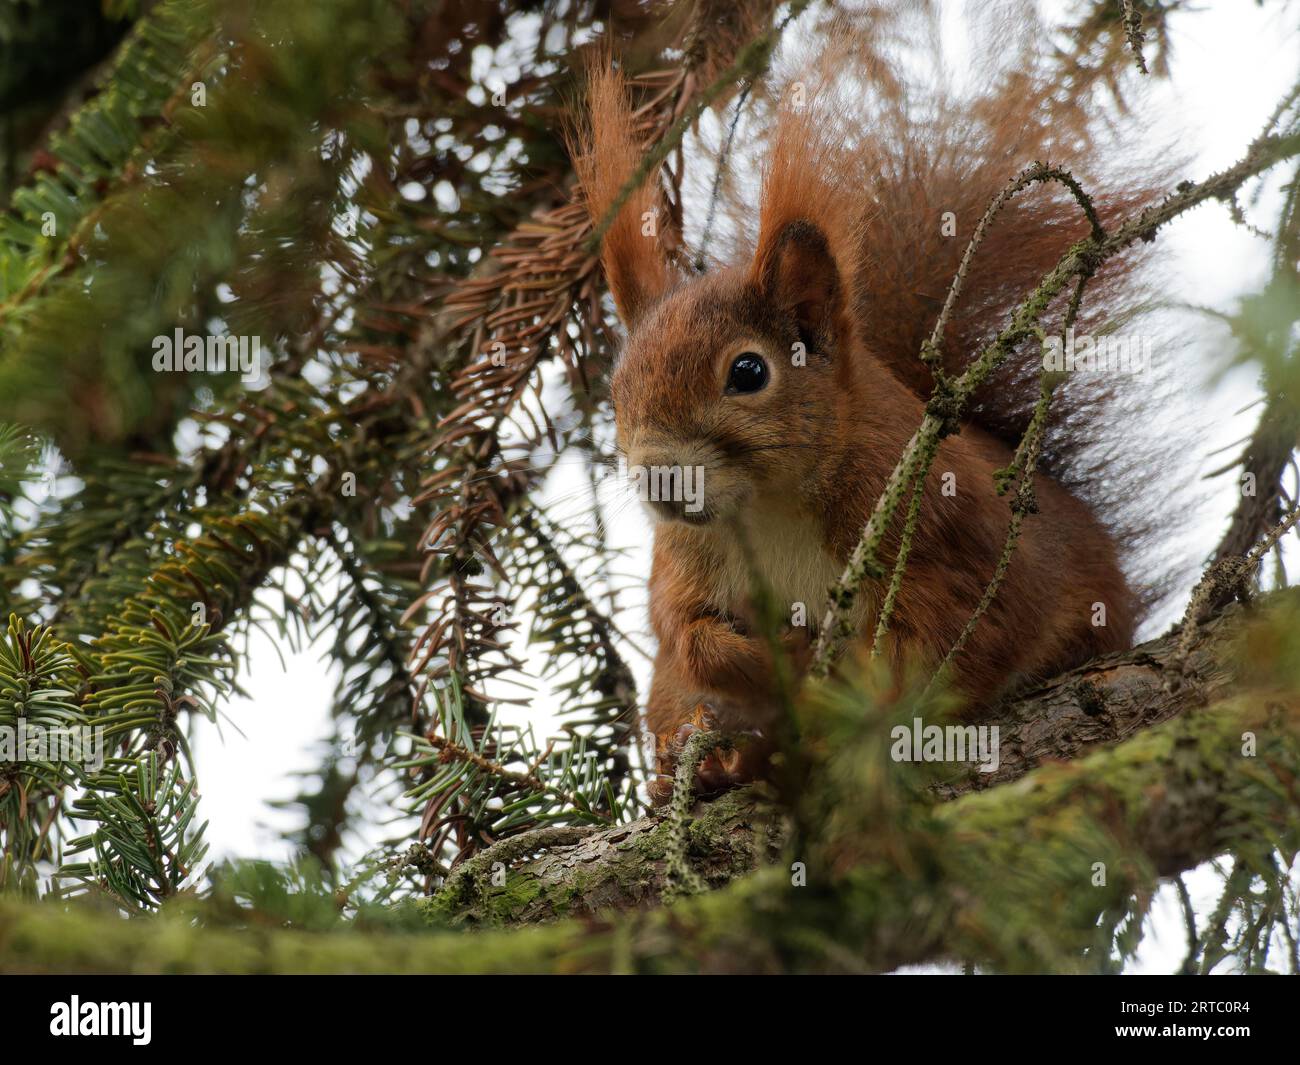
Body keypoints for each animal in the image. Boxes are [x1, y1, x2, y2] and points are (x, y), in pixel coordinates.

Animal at [570, 45, 1162, 805]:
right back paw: (706, 763)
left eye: (749, 372)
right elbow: (687, 634)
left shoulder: (947, 531)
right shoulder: (684, 560)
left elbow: (956, 638)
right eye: (615, 391)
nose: (660, 480)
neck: (770, 508)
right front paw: (772, 662)